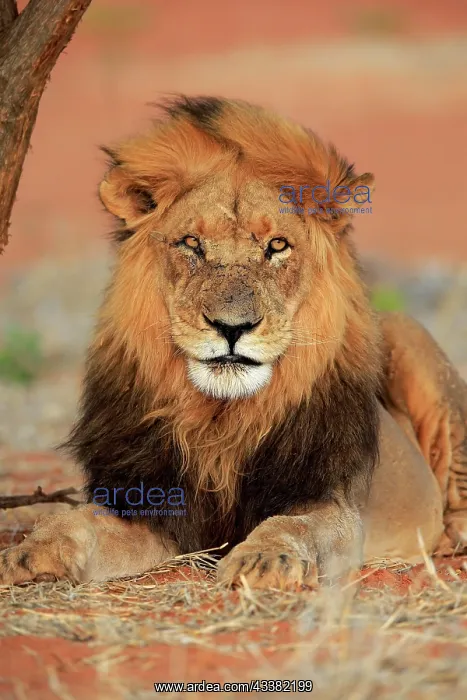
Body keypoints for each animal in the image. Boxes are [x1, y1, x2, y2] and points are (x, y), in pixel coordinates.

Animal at [1, 96, 466, 589]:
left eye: (277, 246)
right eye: (192, 244)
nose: (231, 327)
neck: (220, 422)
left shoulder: (332, 503)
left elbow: (293, 524)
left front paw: (262, 559)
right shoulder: (156, 509)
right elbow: (80, 520)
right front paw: (33, 552)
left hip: (407, 334)